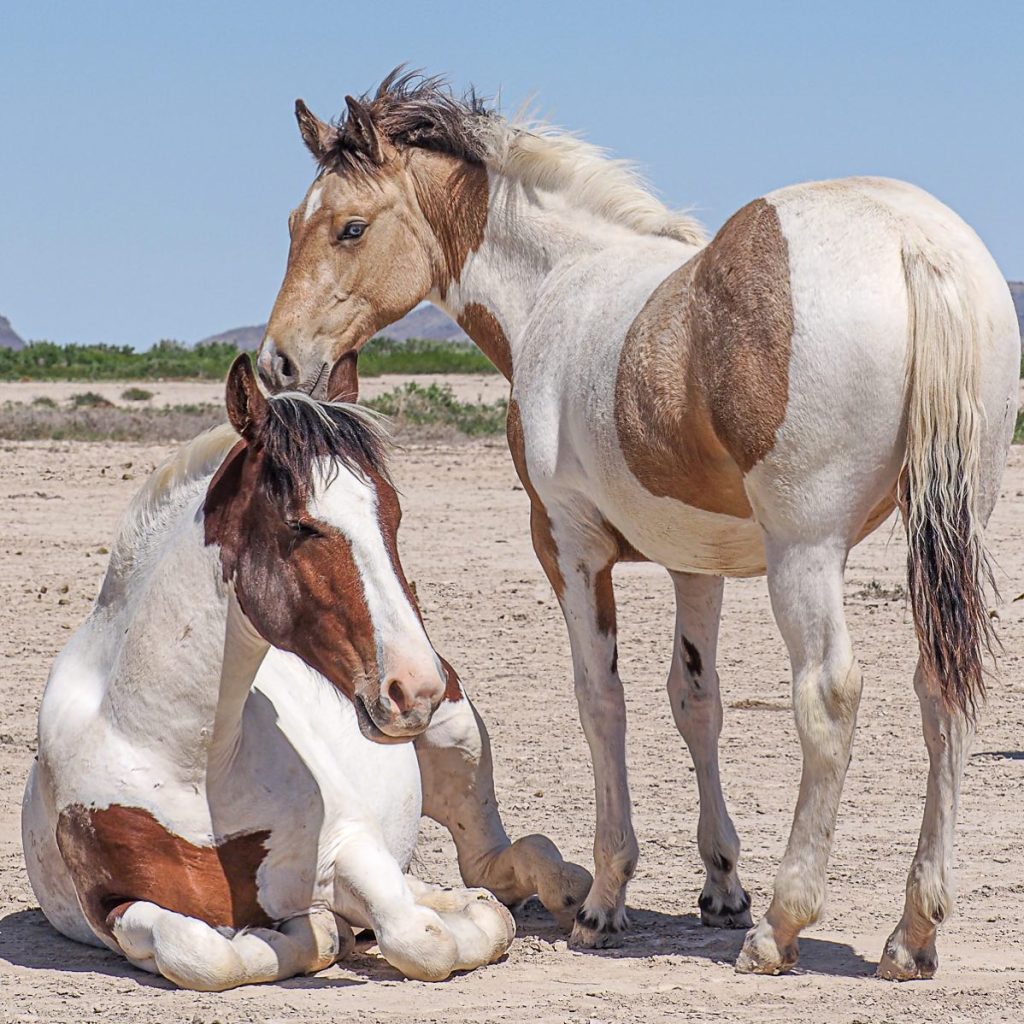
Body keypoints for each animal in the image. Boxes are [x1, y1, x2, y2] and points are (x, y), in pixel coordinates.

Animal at [22, 356, 520, 987]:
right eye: (300, 525)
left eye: (394, 514)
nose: (415, 688)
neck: (188, 761)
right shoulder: (113, 908)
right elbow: (202, 952)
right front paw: (311, 935)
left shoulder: (349, 843)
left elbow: (425, 939)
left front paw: (460, 922)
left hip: (459, 737)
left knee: (479, 851)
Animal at [258, 72, 1024, 974]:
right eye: (293, 223)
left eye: (350, 227)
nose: (277, 363)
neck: (558, 288)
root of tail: (914, 242)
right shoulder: (698, 562)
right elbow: (696, 701)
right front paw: (722, 885)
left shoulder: (568, 545)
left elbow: (602, 700)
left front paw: (606, 897)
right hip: (949, 530)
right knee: (942, 690)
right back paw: (912, 932)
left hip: (807, 551)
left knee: (828, 696)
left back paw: (783, 925)